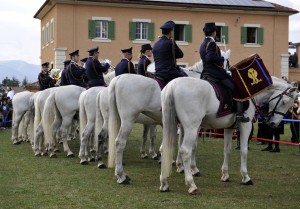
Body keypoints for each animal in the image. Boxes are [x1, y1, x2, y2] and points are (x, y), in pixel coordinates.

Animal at [159, 76, 298, 194]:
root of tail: (172, 85)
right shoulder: (245, 125)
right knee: (185, 151)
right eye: (285, 102)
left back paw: (164, 183)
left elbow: (227, 150)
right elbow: (244, 151)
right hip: (191, 127)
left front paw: (225, 175)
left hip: (172, 125)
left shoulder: (229, 128)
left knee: (165, 148)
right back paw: (192, 185)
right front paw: (246, 177)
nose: (274, 124)